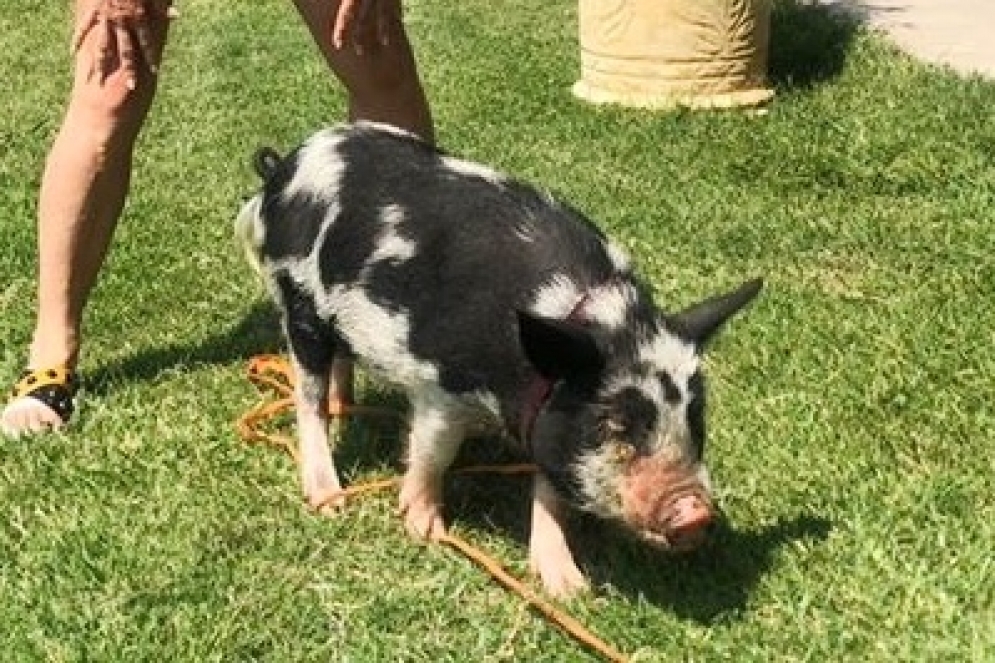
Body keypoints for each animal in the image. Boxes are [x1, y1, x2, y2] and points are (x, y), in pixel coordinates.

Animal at [235, 122, 762, 596]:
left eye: (696, 418)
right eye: (616, 422)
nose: (695, 512)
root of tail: (286, 167)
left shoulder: (549, 412)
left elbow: (550, 486)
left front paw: (569, 590)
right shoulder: (440, 386)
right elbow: (433, 453)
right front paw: (427, 532)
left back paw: (346, 408)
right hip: (297, 303)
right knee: (307, 398)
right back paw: (328, 499)